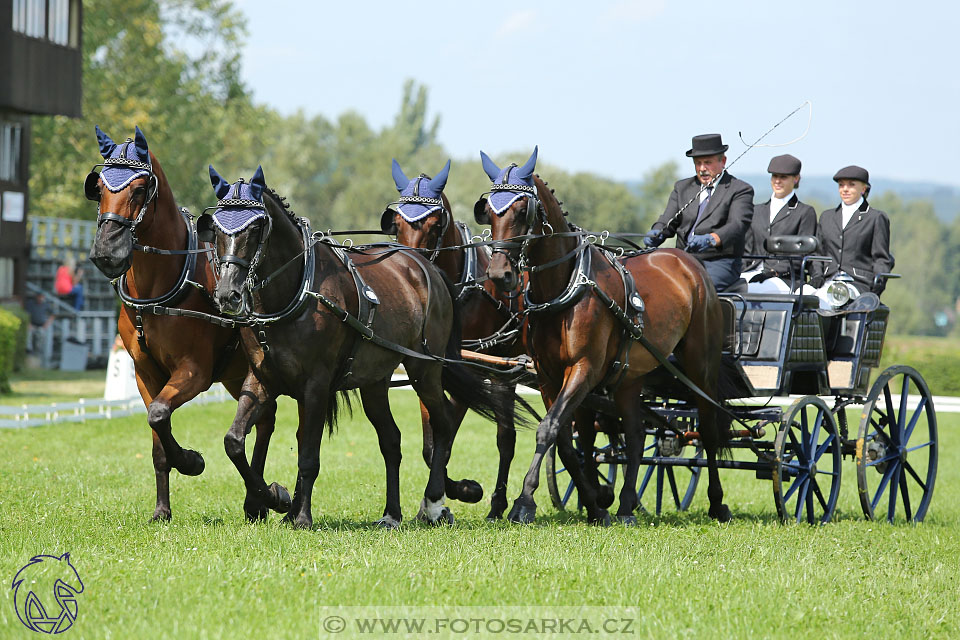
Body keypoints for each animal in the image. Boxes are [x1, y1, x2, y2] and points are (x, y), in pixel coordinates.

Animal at [85, 127, 282, 524]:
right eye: (98, 187)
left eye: (140, 189)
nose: (107, 252)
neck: (159, 287)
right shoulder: (146, 372)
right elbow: (156, 428)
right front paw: (162, 509)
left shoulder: (194, 371)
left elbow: (160, 414)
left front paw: (191, 461)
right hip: (236, 375)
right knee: (261, 420)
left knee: (263, 422)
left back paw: (259, 499)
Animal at [195, 166, 510, 528]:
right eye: (217, 226)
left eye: (257, 226)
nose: (227, 295)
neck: (295, 291)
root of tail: (428, 268)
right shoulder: (262, 380)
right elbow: (234, 442)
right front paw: (275, 497)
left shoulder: (316, 385)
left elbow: (309, 454)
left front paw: (301, 515)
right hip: (375, 382)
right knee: (391, 440)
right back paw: (391, 513)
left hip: (425, 368)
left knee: (441, 424)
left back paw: (433, 503)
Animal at [378, 159, 528, 520]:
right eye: (397, 223)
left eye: (435, 225)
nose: (406, 266)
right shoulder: (430, 367)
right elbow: (430, 443)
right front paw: (440, 499)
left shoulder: (465, 370)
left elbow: (445, 436)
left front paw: (459, 493)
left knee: (508, 437)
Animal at [476, 146, 732, 524]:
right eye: (490, 210)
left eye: (523, 211)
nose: (500, 274)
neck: (564, 287)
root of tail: (687, 260)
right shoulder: (550, 376)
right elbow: (565, 440)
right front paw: (596, 502)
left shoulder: (584, 368)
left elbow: (548, 429)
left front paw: (524, 502)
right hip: (630, 374)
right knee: (636, 434)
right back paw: (626, 505)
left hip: (701, 366)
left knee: (710, 430)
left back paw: (717, 502)